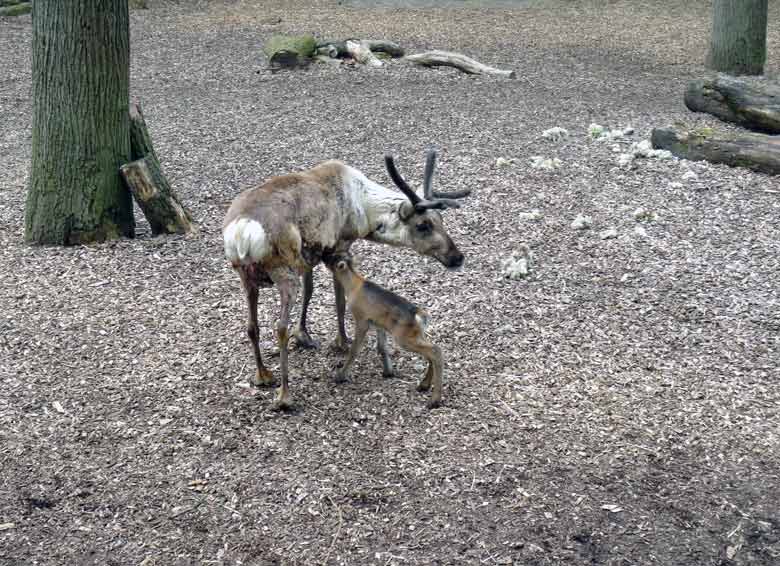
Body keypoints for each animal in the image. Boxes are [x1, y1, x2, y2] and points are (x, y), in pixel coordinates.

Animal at [324, 253, 444, 408]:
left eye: (332, 258)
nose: (322, 257)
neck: (353, 286)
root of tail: (419, 315)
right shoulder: (378, 323)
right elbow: (382, 347)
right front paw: (388, 372)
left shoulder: (362, 320)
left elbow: (354, 350)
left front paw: (340, 376)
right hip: (417, 335)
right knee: (431, 352)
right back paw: (424, 385)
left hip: (403, 337)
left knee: (435, 351)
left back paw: (434, 400)